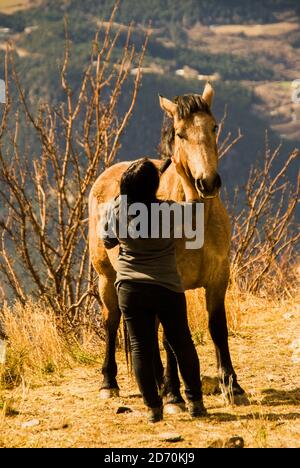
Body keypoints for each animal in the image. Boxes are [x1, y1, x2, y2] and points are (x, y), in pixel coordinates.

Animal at [88, 81, 244, 406]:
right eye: (180, 133)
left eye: (213, 127)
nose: (207, 182)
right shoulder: (173, 284)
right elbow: (170, 337)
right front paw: (175, 396)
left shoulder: (218, 278)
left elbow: (217, 328)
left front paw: (233, 386)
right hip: (106, 278)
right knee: (111, 321)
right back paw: (110, 383)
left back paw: (157, 381)